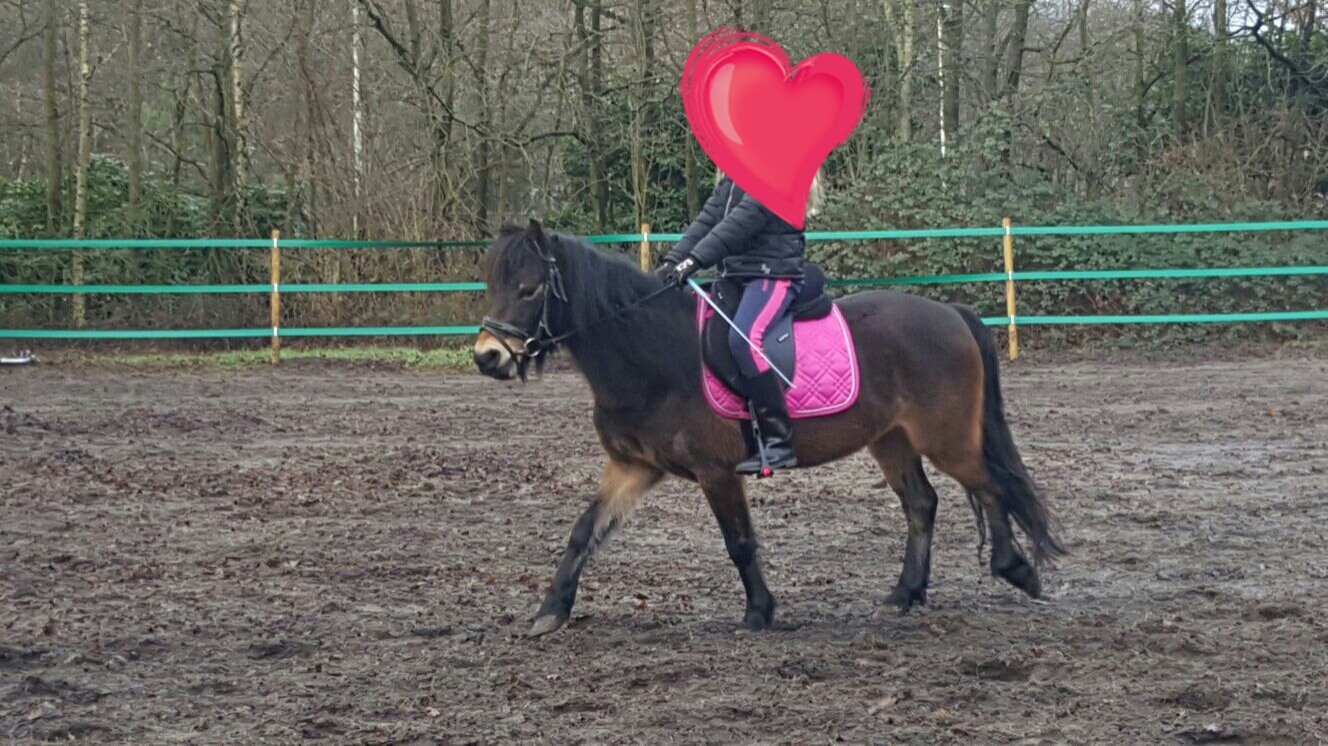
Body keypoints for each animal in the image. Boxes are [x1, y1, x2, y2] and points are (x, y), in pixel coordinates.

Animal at [472, 219, 1066, 637]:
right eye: (493, 283)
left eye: (529, 290)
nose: (486, 357)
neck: (651, 354)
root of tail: (949, 313)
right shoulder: (632, 466)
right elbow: (583, 532)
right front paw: (550, 611)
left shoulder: (716, 471)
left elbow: (739, 541)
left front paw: (759, 611)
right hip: (891, 440)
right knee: (923, 504)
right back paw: (905, 593)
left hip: (945, 439)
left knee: (991, 486)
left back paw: (1017, 570)